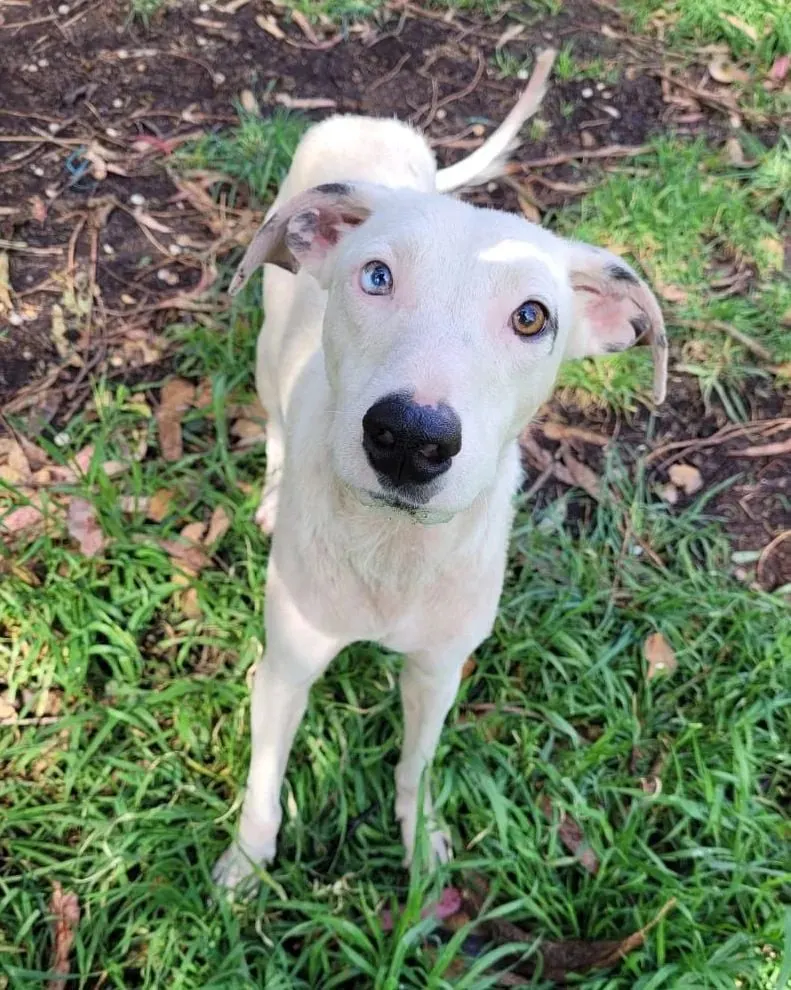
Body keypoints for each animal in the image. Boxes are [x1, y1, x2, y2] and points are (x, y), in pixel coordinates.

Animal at [212, 52, 668, 892]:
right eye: (375, 277)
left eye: (532, 317)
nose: (409, 439)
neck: (394, 551)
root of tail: (366, 124)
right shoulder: (285, 668)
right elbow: (264, 781)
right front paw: (246, 867)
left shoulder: (437, 670)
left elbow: (416, 766)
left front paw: (420, 844)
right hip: (266, 340)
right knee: (275, 423)